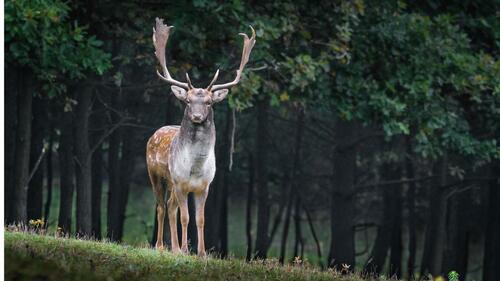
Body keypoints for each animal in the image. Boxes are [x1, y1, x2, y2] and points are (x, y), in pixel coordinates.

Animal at [145, 18, 254, 256]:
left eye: (209, 102)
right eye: (187, 100)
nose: (196, 116)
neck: (195, 168)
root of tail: (155, 133)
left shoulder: (204, 186)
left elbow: (200, 219)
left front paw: (202, 253)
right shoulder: (181, 183)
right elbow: (186, 217)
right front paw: (186, 250)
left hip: (172, 184)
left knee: (170, 206)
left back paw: (174, 247)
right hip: (156, 175)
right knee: (161, 206)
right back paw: (161, 245)